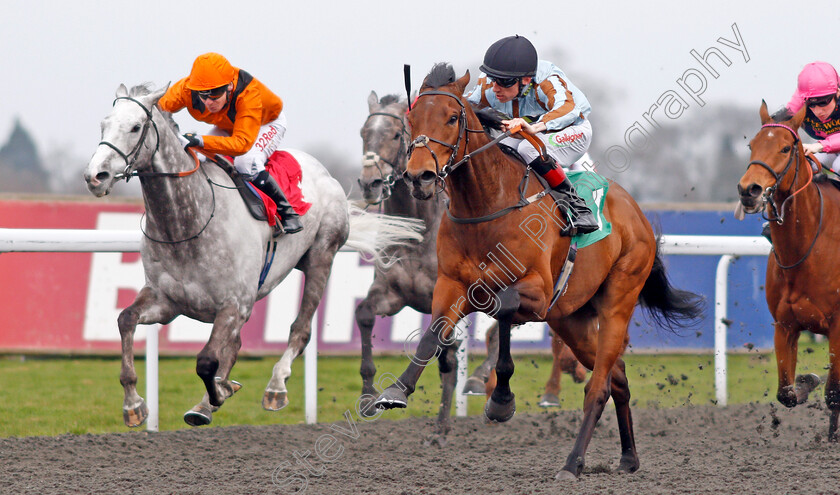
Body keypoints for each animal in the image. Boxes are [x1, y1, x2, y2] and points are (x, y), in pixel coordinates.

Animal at [83, 83, 424, 428]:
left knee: (300, 330)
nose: (95, 176)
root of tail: (321, 170)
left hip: (322, 255)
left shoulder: (234, 304)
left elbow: (206, 360)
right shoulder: (166, 301)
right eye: (103, 124)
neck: (187, 224)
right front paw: (134, 404)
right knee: (234, 345)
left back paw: (275, 386)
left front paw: (217, 393)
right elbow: (126, 319)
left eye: (135, 127)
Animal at [374, 66, 704, 480]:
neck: (486, 206)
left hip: (617, 301)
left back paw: (572, 463)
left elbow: (500, 307)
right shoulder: (450, 284)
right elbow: (435, 332)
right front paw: (396, 391)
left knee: (598, 387)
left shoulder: (538, 290)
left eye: (451, 118)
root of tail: (636, 212)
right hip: (571, 319)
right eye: (411, 121)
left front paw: (497, 396)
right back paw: (628, 457)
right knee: (618, 379)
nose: (420, 177)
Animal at [740, 101, 836, 442]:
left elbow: (833, 392)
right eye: (752, 145)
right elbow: (786, 393)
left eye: (785, 148)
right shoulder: (784, 324)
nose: (749, 190)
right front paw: (808, 379)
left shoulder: (838, 325)